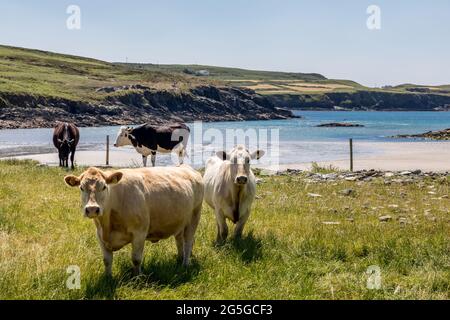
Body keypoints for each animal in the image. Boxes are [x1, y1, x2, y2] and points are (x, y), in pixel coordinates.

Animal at [63, 165, 204, 276]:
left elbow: (136, 259)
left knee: (188, 242)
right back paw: (179, 259)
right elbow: (107, 260)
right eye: (81, 188)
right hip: (180, 221)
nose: (92, 209)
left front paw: (138, 277)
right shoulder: (100, 235)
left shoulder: (139, 233)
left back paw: (185, 264)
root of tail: (187, 168)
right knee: (180, 240)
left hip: (194, 216)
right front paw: (108, 278)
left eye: (104, 187)